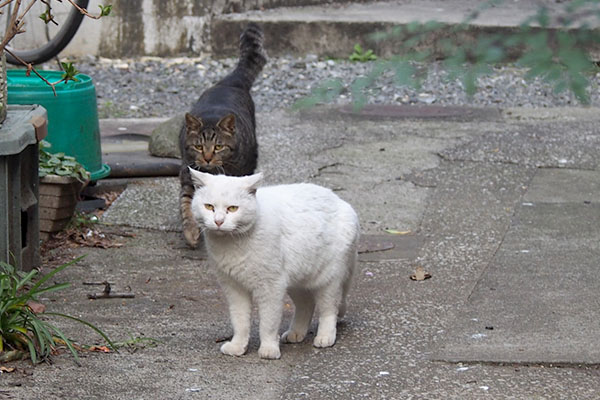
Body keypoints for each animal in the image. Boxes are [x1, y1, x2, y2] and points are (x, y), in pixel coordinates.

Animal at [178, 23, 268, 247]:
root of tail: (231, 83)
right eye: (199, 146)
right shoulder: (187, 175)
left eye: (218, 146)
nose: (208, 158)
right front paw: (191, 231)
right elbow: (187, 204)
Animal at [190, 169, 358, 360]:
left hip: (327, 280)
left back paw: (325, 337)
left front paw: (269, 349)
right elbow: (240, 321)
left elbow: (268, 323)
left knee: (329, 309)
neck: (231, 244)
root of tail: (339, 200)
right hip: (296, 281)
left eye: (232, 208)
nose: (218, 221)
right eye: (209, 207)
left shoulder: (270, 287)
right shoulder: (234, 288)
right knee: (307, 304)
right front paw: (238, 347)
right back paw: (296, 333)